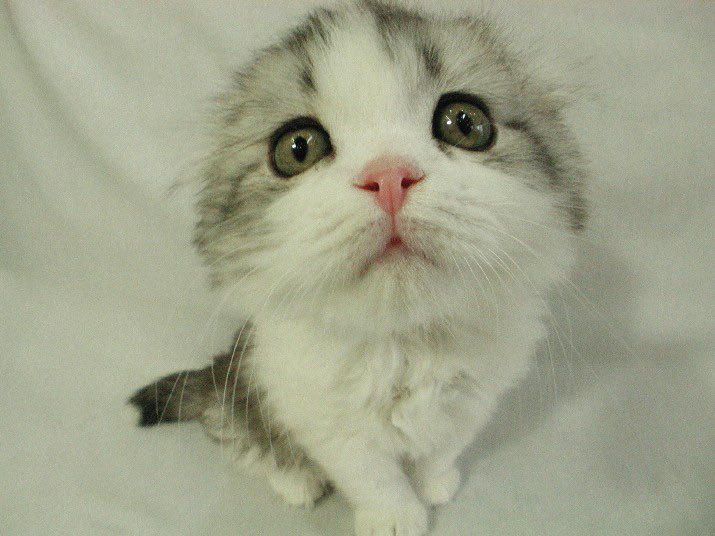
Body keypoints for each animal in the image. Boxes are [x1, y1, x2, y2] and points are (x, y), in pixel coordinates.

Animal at [130, 2, 588, 532]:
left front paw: (436, 484)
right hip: (241, 385)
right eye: (298, 148)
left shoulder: (473, 399)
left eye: (465, 123)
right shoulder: (323, 419)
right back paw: (296, 482)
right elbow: (374, 477)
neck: (406, 346)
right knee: (238, 435)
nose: (389, 175)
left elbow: (440, 450)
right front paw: (395, 518)